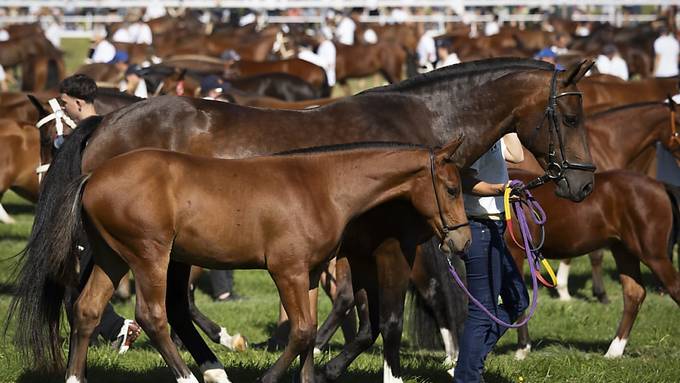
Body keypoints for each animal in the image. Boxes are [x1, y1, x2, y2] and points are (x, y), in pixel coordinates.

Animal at [15, 140, 472, 383]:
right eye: (451, 188)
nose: (463, 241)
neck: (320, 186)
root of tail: (92, 176)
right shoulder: (286, 271)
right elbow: (302, 331)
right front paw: (270, 378)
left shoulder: (307, 274)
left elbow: (308, 331)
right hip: (150, 256)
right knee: (153, 315)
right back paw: (190, 377)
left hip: (113, 256)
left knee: (87, 310)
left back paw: (75, 377)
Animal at [504, 170, 680, 358]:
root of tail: (661, 185)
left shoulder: (514, 252)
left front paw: (522, 349)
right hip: (623, 250)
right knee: (634, 293)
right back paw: (613, 352)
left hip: (653, 255)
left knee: (673, 288)